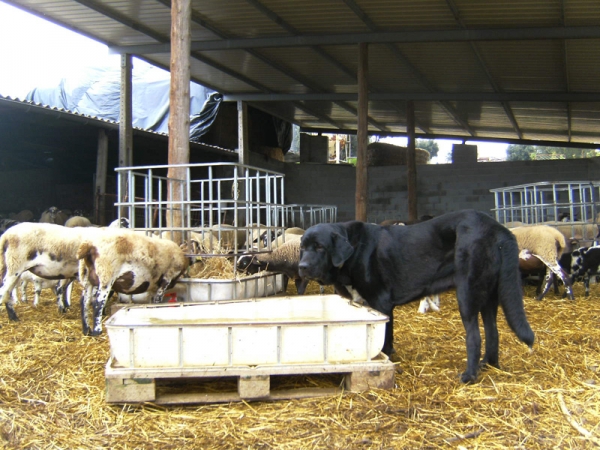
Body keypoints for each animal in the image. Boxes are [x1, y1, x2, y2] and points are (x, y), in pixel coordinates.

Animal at [298, 209, 536, 382]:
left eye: (320, 247)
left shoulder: (381, 303)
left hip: (467, 294)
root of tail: (497, 228)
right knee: (493, 331)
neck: (355, 250)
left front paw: (386, 357)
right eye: (302, 248)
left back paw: (469, 375)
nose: (302, 267)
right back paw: (488, 364)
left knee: (474, 336)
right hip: (488, 296)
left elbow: (385, 339)